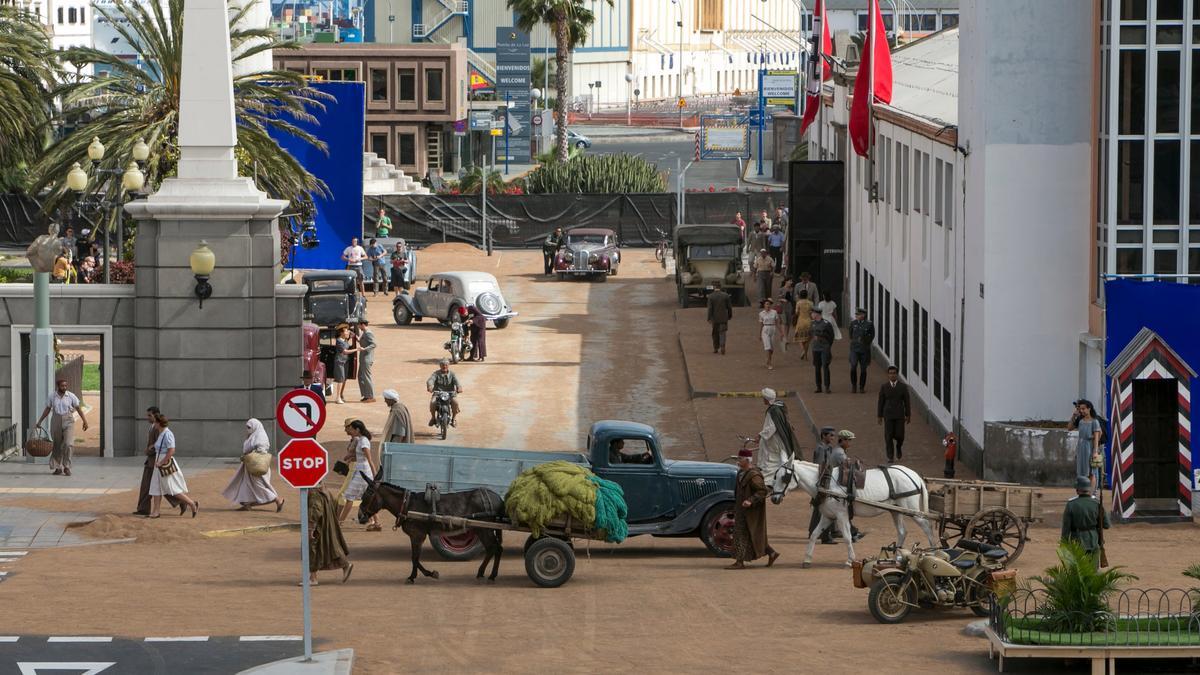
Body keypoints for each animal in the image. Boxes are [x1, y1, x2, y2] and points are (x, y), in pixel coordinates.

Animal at [768, 458, 936, 564]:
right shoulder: (828, 516)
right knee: (902, 531)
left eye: (784, 477)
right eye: (775, 476)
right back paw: (896, 557)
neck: (826, 483)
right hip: (895, 510)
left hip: (912, 509)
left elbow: (847, 537)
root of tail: (914, 475)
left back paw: (934, 550)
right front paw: (807, 559)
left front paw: (850, 560)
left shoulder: (841, 515)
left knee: (927, 527)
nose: (774, 498)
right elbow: (814, 534)